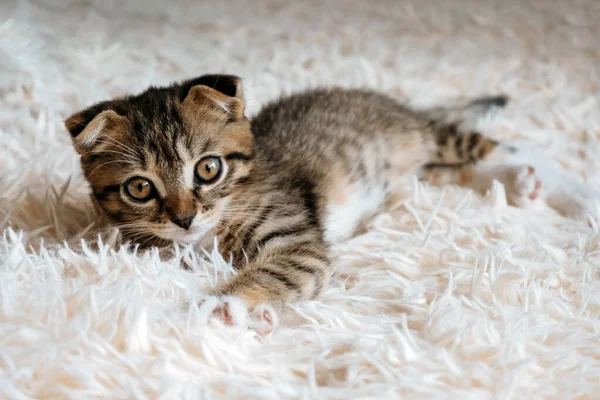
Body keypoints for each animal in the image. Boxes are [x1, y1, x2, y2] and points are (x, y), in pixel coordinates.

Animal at [63, 73, 596, 332]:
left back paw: (573, 194)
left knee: (507, 147)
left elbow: (276, 269)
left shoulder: (298, 241)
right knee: (454, 170)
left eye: (208, 169)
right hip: (410, 168)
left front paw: (221, 306)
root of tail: (400, 106)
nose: (185, 217)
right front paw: (258, 317)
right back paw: (519, 185)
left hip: (429, 136)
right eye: (140, 188)